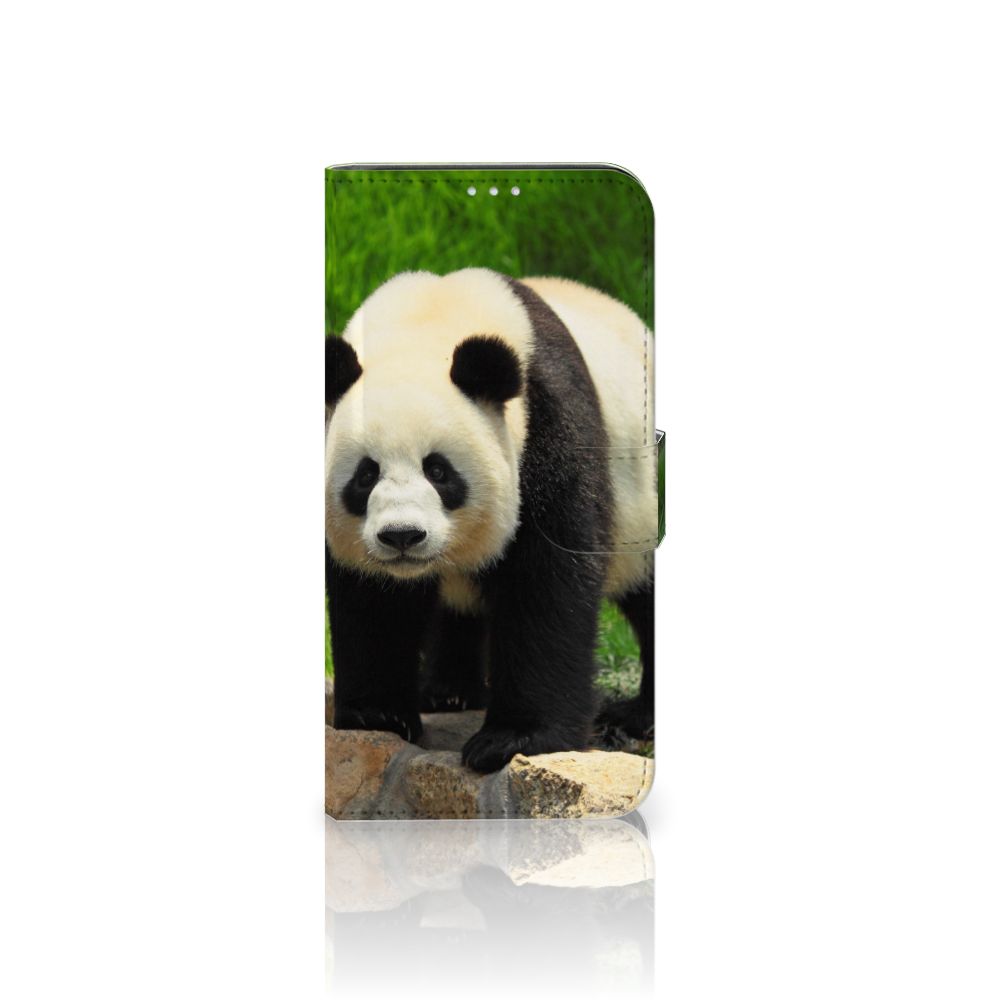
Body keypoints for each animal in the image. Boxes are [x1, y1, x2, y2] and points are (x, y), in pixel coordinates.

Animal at [325, 268, 655, 774]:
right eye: (365, 475)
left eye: (438, 470)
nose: (402, 536)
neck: (426, 323)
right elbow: (372, 599)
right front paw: (376, 715)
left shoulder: (547, 424)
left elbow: (546, 582)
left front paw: (514, 739)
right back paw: (448, 692)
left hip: (640, 497)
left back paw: (638, 716)